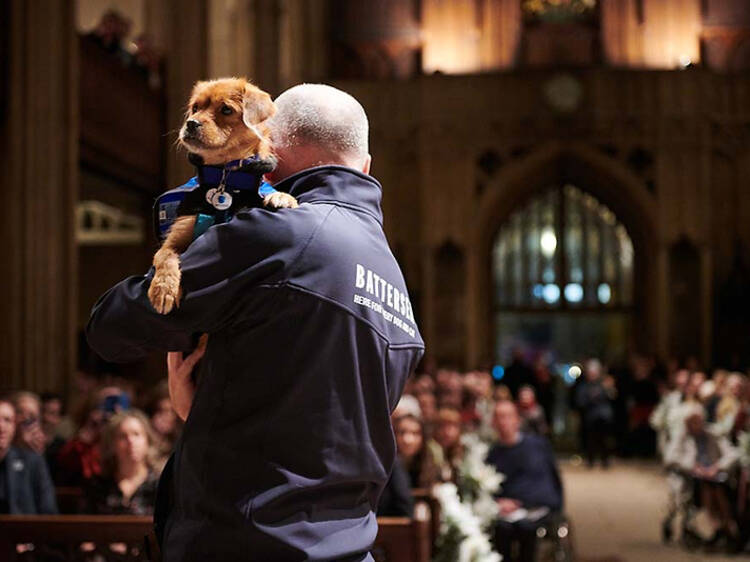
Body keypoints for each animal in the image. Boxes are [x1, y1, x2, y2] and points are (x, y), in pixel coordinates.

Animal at [148, 77, 298, 316]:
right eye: (195, 108)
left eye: (226, 109)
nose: (191, 123)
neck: (225, 179)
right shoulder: (176, 236)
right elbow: (163, 256)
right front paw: (163, 289)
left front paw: (283, 197)